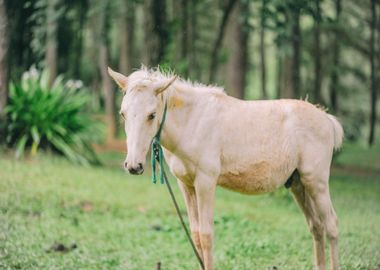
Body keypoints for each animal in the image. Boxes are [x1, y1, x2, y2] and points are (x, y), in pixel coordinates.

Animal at [108, 66, 342, 270]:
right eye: (123, 114)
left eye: (151, 115)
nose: (133, 165)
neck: (191, 122)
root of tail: (326, 119)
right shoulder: (186, 185)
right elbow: (196, 235)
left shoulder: (206, 183)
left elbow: (206, 235)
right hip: (298, 185)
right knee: (316, 226)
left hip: (316, 183)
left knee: (331, 225)